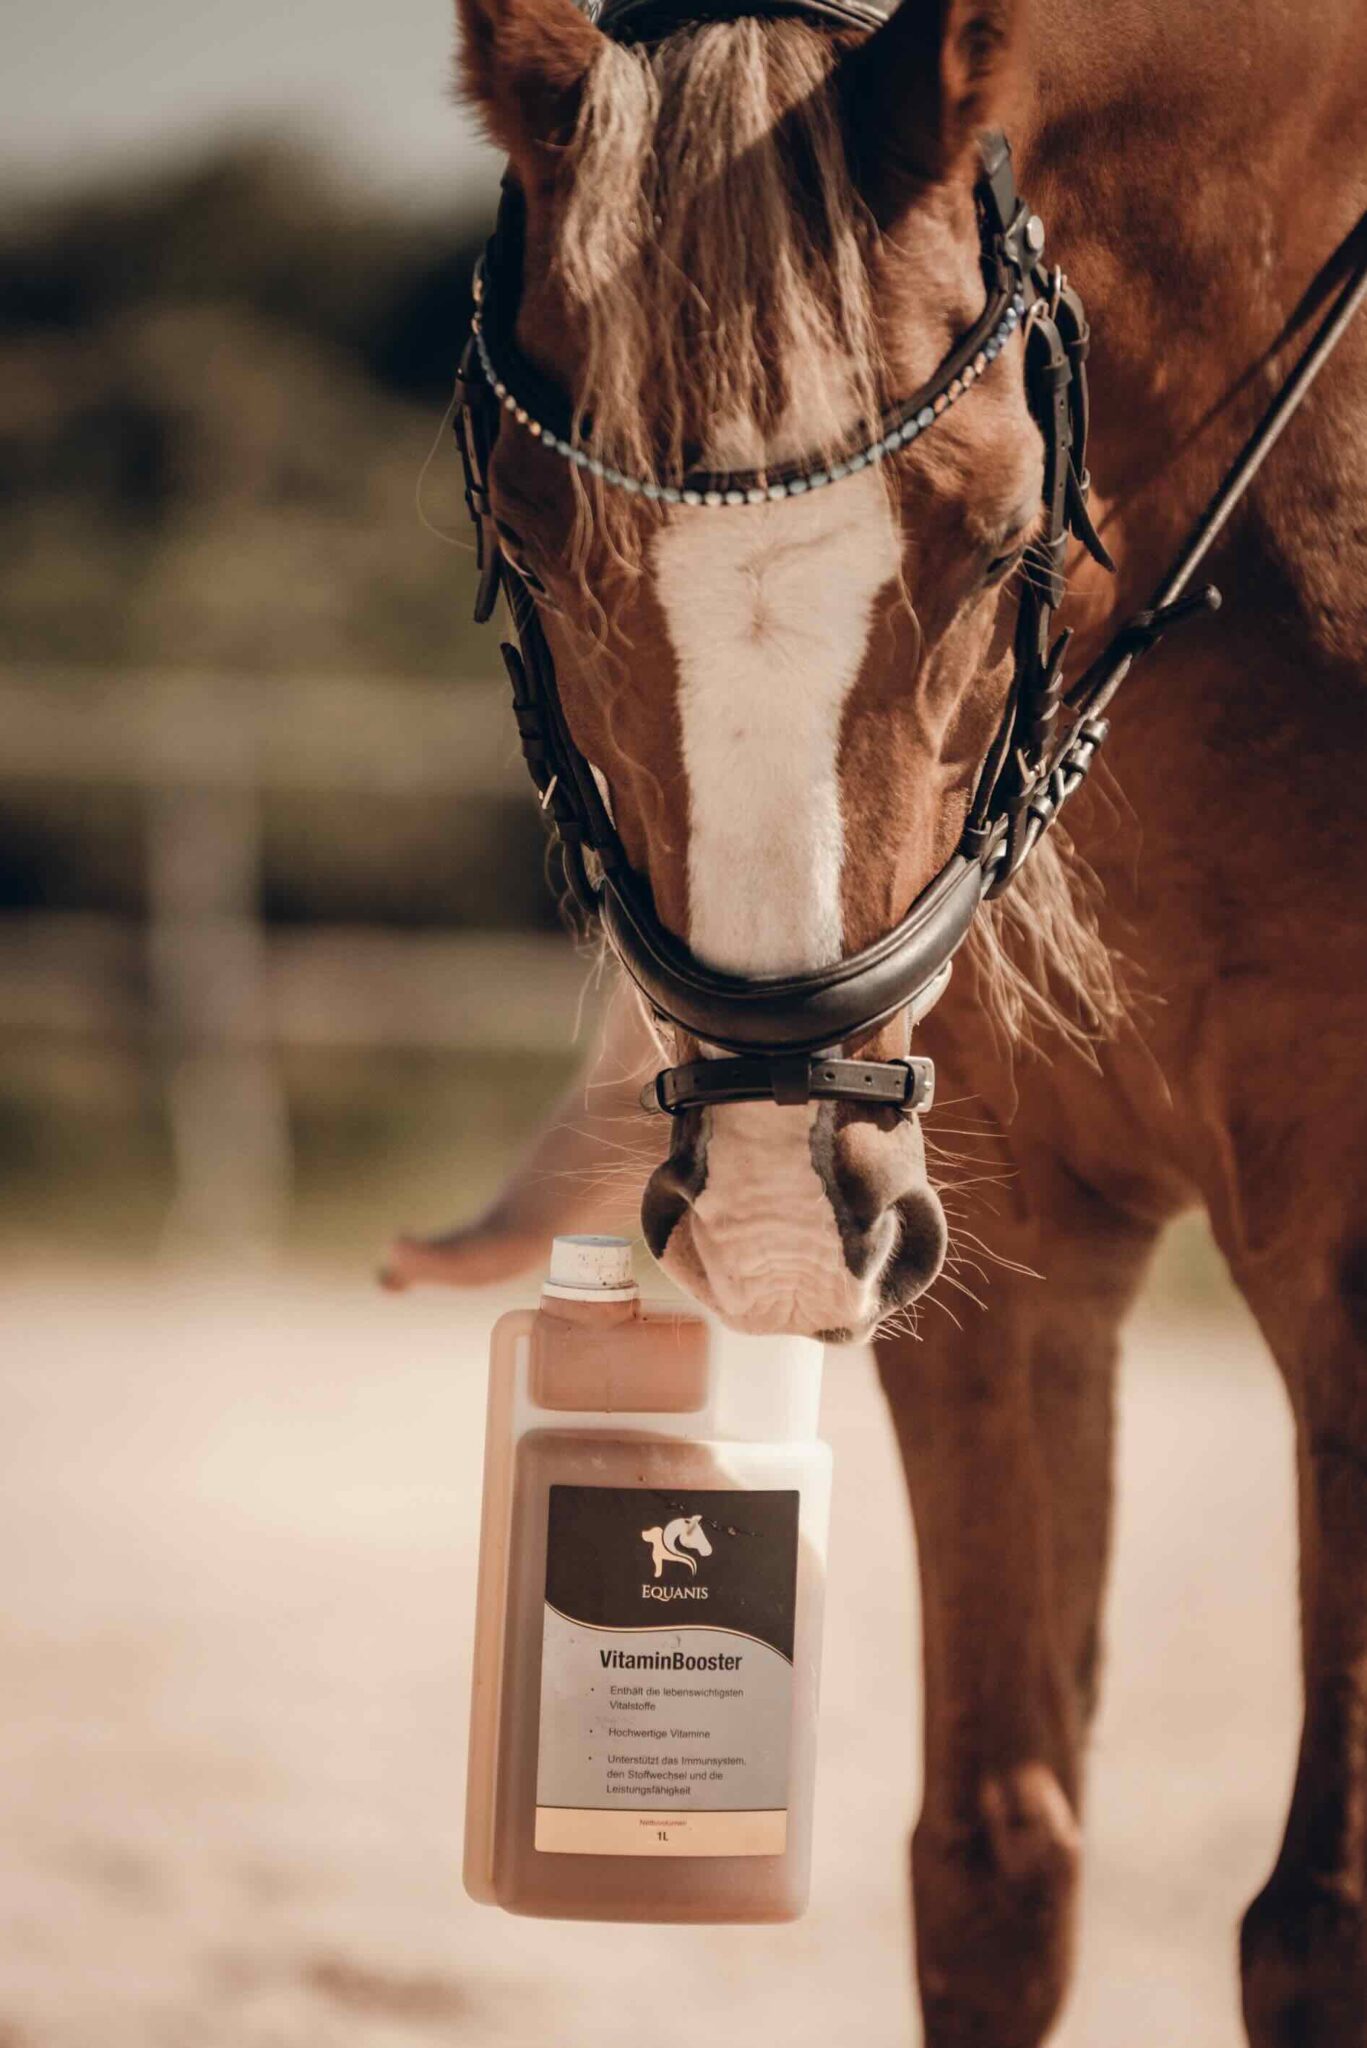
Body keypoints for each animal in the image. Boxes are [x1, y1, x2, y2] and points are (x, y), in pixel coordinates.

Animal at [383, 0, 1367, 2035]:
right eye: (533, 544)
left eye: (999, 538)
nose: (762, 1224)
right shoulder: (996, 1249)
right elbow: (989, 1866)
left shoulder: (1348, 1250)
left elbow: (1318, 1918)